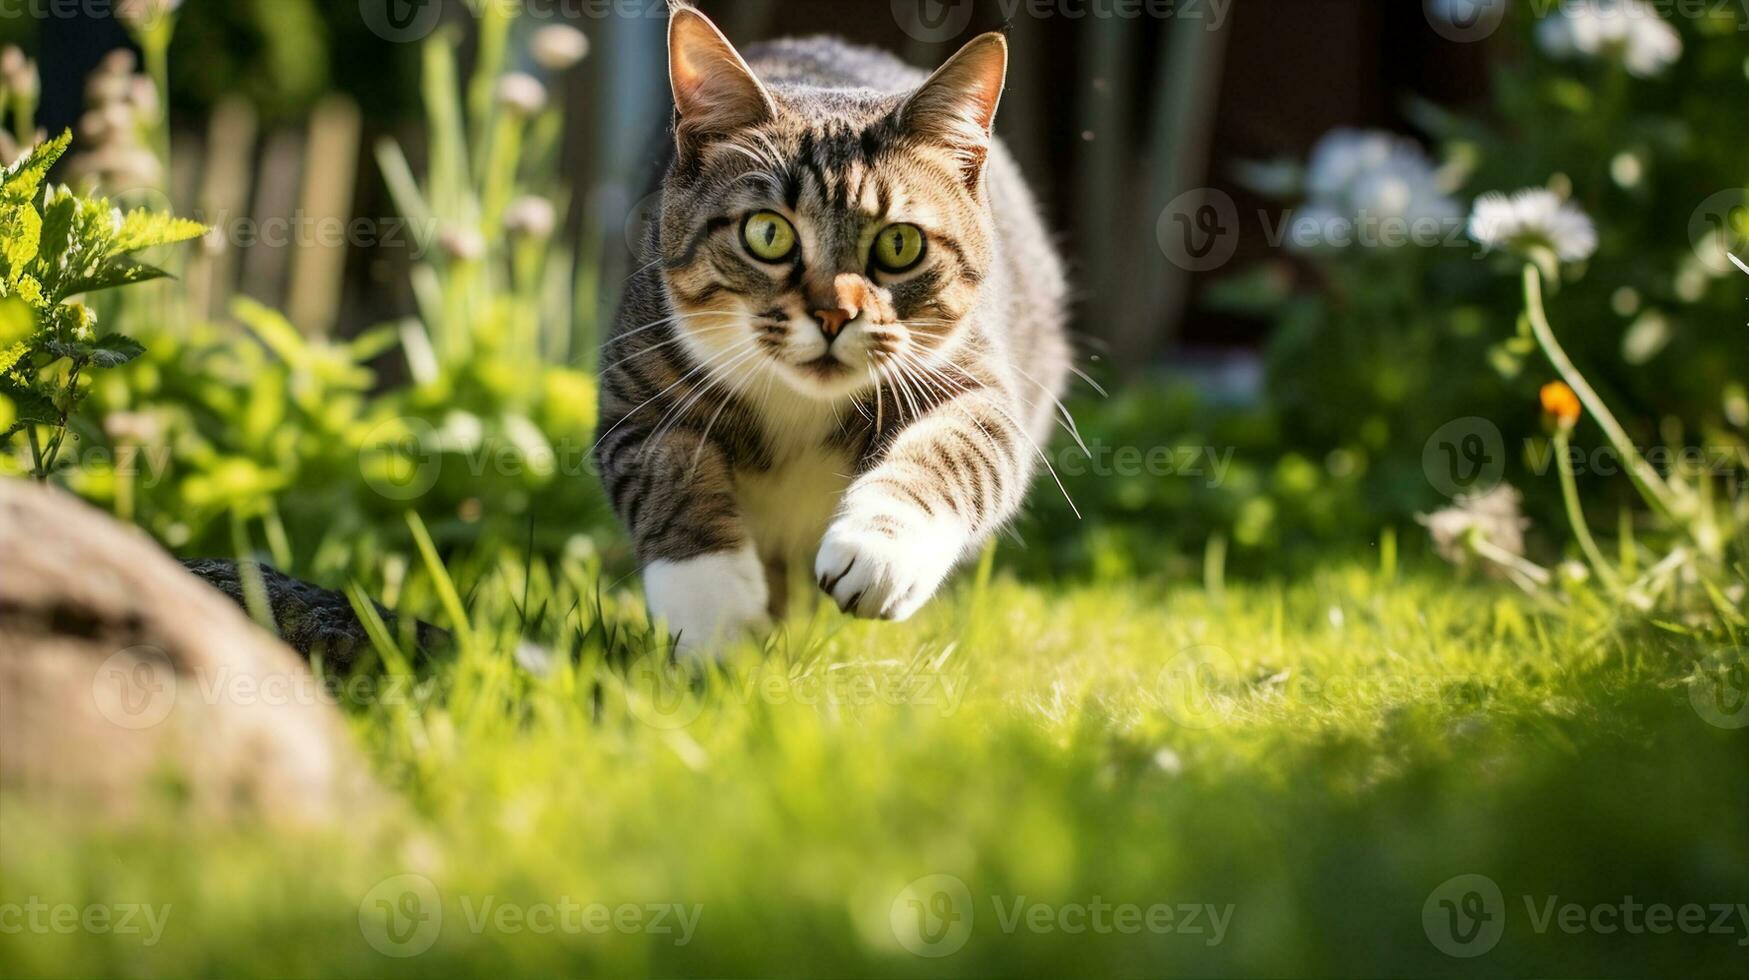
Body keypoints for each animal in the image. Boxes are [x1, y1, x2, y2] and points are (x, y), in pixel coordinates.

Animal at [598, 5, 1063, 658]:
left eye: (900, 244)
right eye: (768, 233)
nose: (834, 314)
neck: (800, 403)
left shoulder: (977, 379)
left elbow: (958, 448)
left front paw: (880, 549)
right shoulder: (636, 388)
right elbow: (668, 472)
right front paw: (713, 608)